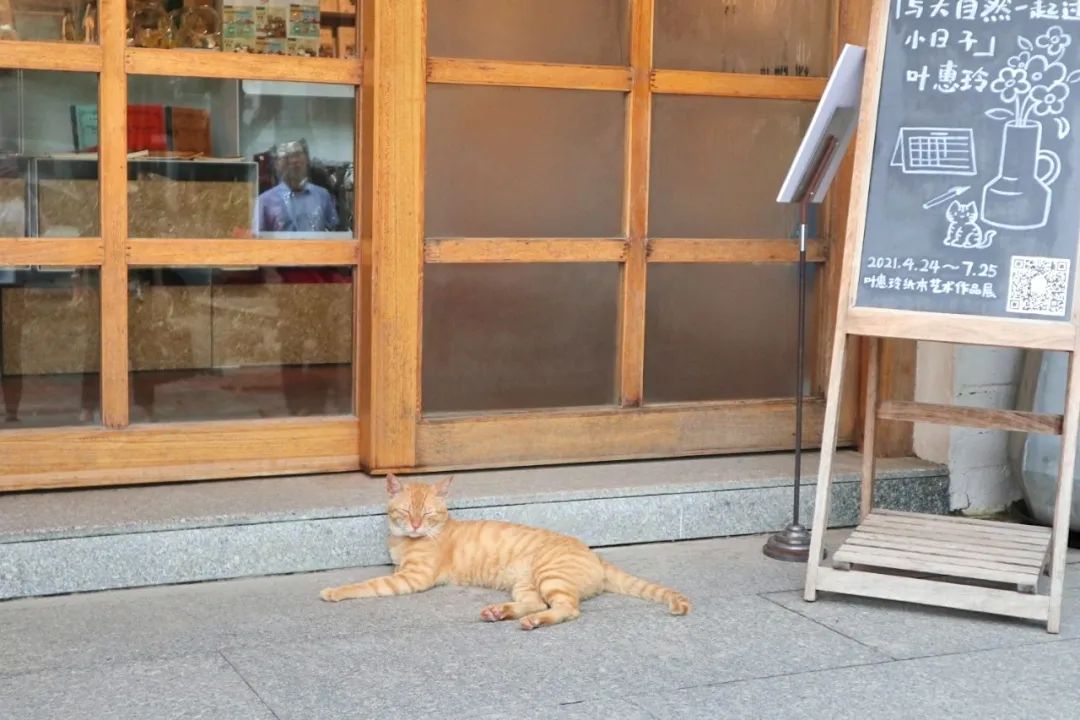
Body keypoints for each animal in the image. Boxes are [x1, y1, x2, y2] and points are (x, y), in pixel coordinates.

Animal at [319, 479, 691, 630]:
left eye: (427, 514)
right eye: (405, 512)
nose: (414, 525)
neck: (406, 541)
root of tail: (595, 554)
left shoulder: (412, 578)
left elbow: (366, 585)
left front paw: (334, 591)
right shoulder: (402, 571)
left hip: (549, 575)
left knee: (567, 609)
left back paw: (531, 622)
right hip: (527, 582)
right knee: (537, 603)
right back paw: (500, 611)